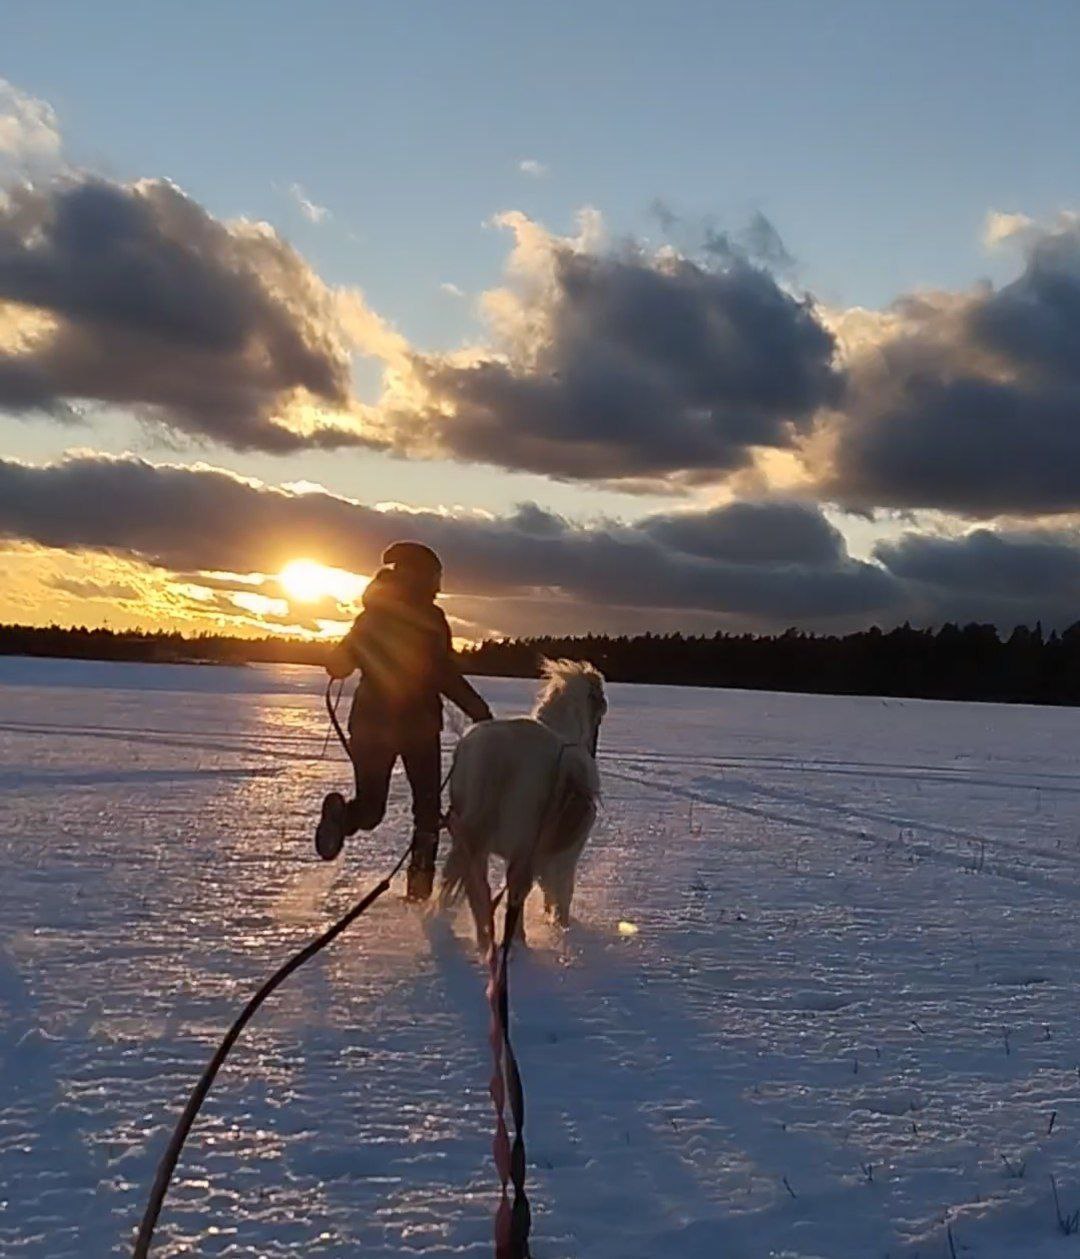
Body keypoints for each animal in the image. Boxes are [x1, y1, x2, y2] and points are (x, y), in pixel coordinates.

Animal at [440, 659, 606, 946]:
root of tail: (498, 751)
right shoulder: (563, 856)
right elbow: (562, 893)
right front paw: (561, 928)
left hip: (474, 842)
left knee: (478, 889)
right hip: (523, 848)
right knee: (514, 893)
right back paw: (516, 941)